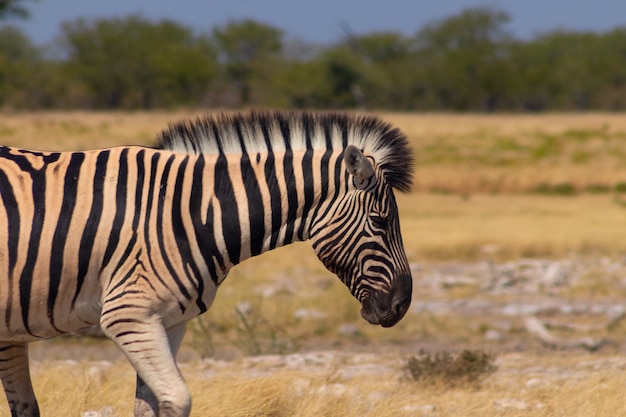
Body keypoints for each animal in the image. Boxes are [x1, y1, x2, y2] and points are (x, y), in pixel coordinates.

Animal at [0, 110, 414, 416]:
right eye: (380, 221)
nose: (401, 305)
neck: (191, 214)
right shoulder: (128, 315)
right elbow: (179, 399)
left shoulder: (169, 322)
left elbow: (153, 406)